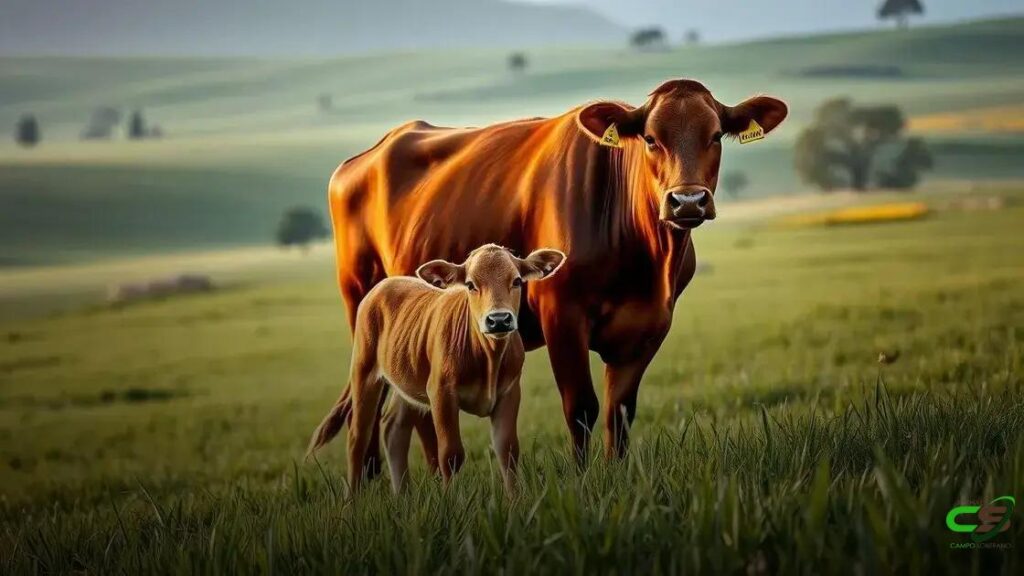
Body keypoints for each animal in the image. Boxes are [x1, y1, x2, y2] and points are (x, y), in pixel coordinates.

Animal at [308, 244, 566, 493]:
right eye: (471, 285)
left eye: (517, 281)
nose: (499, 320)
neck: (488, 357)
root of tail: (385, 284)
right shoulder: (441, 392)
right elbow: (451, 455)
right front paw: (452, 501)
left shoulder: (509, 392)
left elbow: (508, 449)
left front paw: (515, 500)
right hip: (364, 369)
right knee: (357, 437)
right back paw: (353, 499)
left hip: (408, 377)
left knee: (393, 427)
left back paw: (403, 496)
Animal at [326, 78, 788, 470]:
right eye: (651, 139)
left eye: (715, 135)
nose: (687, 201)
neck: (646, 258)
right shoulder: (561, 315)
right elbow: (581, 407)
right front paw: (584, 482)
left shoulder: (649, 326)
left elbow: (619, 412)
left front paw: (615, 476)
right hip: (360, 307)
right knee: (371, 416)